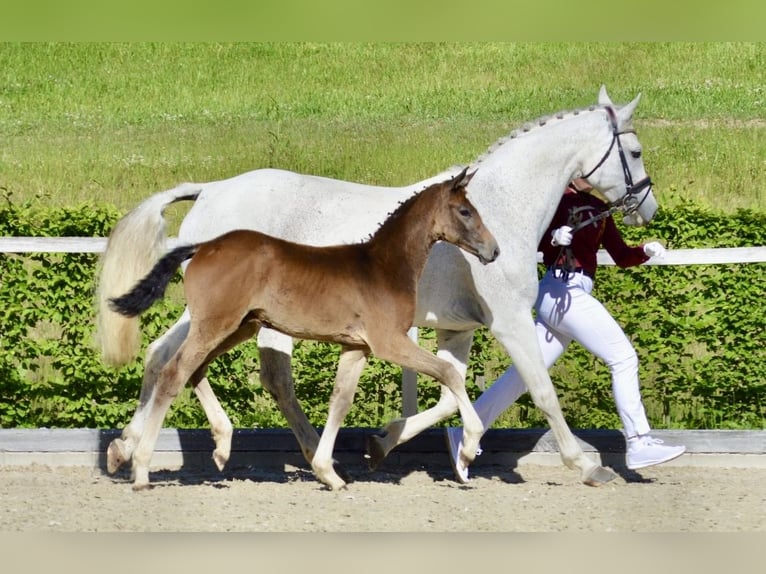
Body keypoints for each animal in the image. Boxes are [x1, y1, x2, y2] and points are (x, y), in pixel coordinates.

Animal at [106, 168, 500, 490]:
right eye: (465, 211)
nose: (493, 250)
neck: (382, 266)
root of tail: (202, 246)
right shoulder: (389, 342)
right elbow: (449, 372)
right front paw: (469, 448)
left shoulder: (356, 346)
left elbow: (340, 400)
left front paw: (330, 471)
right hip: (217, 324)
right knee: (175, 372)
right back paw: (141, 468)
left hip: (238, 327)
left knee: (191, 367)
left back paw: (218, 447)